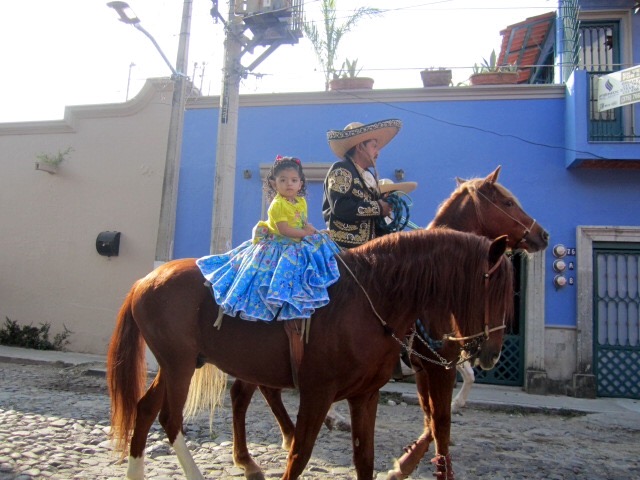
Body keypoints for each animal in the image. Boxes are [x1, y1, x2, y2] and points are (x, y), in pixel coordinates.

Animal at [107, 229, 512, 480]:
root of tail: (144, 280)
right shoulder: (318, 394)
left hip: (177, 365)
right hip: (179, 367)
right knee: (170, 418)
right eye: (491, 289)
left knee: (145, 410)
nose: (492, 354)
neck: (372, 298)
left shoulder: (365, 396)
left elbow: (365, 460)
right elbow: (299, 457)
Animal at [232, 164, 548, 476]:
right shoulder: (437, 365)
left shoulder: (432, 363)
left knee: (253, 390)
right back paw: (270, 448)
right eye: (508, 202)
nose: (542, 235)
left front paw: (411, 457)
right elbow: (439, 419)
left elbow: (434, 412)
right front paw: (406, 464)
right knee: (252, 390)